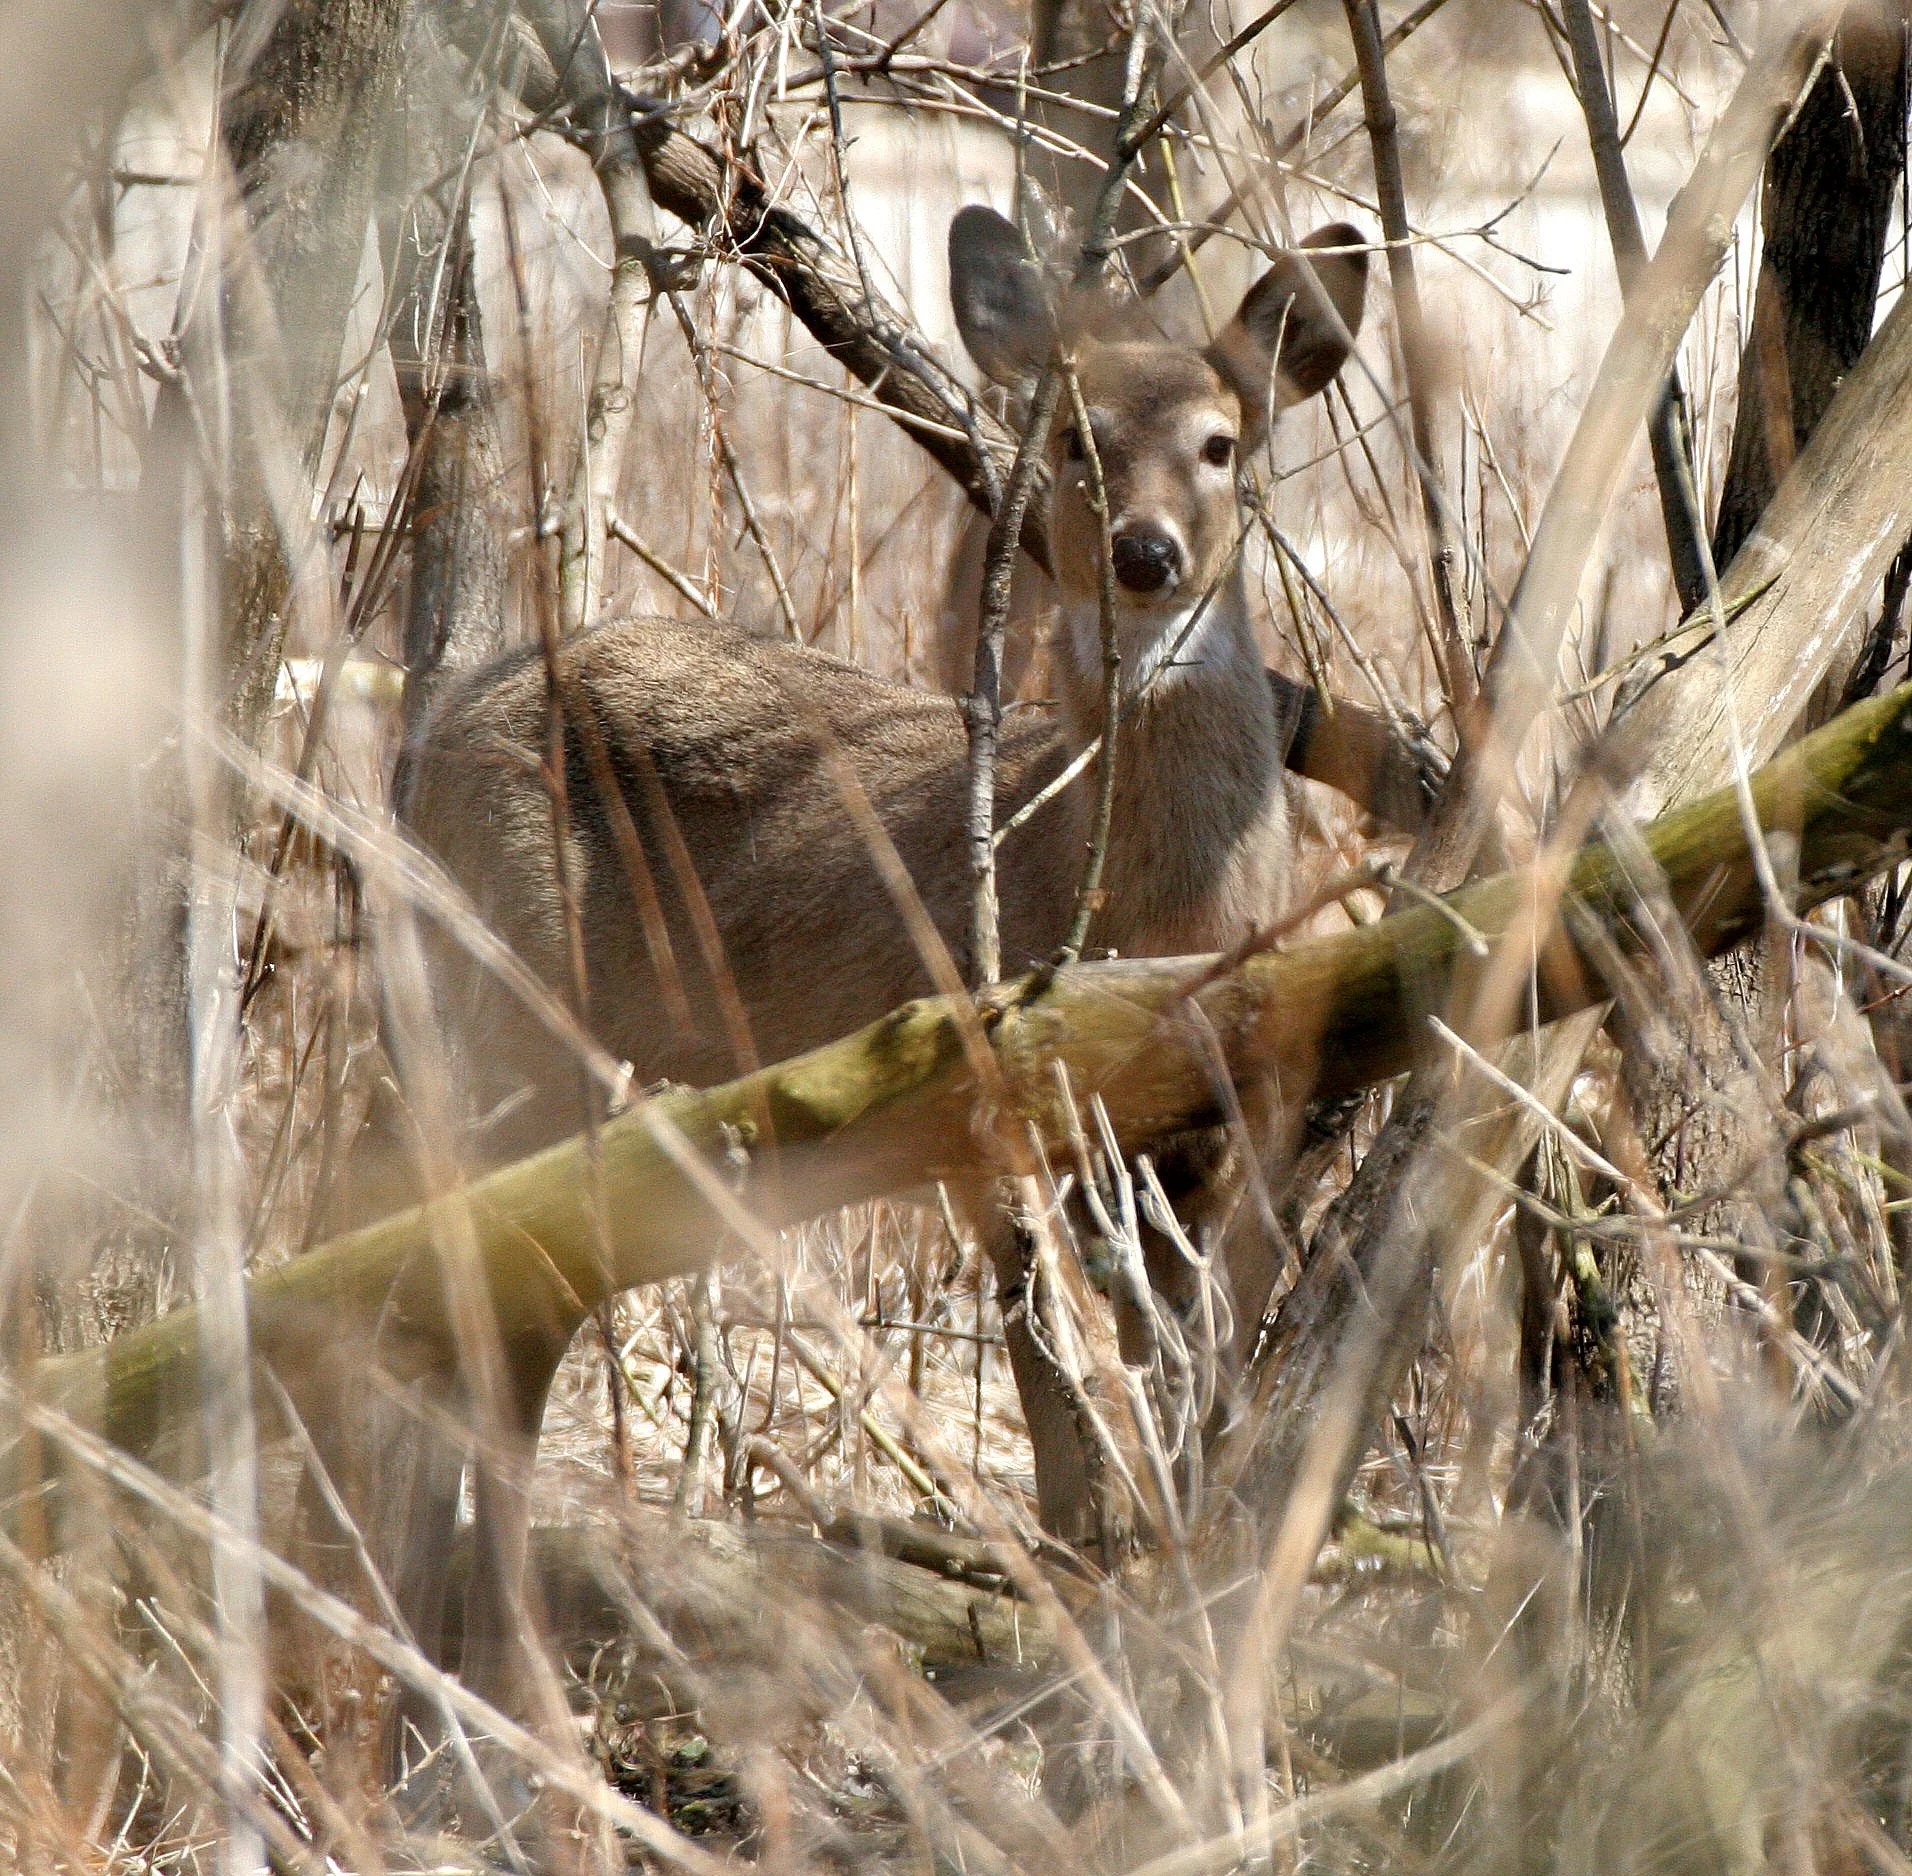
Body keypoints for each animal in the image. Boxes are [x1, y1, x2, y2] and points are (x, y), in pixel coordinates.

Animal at [390, 205, 1370, 1593]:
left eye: (1221, 443)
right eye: (1073, 440)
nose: (1146, 552)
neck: (1157, 909)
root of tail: (427, 741)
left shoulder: (1221, 1149)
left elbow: (1173, 1396)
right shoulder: (997, 1109)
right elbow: (1061, 1409)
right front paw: (1082, 1577)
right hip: (514, 983)